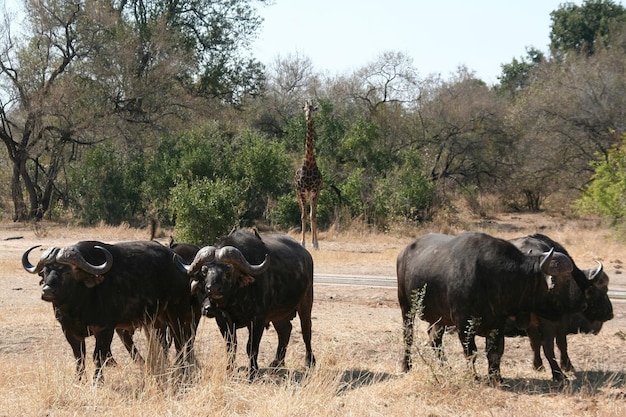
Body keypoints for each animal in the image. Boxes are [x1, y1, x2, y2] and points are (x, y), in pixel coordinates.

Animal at [23, 239, 199, 378]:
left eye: (67, 272)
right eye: (44, 272)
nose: (47, 291)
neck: (77, 306)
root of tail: (179, 263)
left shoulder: (105, 329)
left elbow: (98, 356)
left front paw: (97, 381)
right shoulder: (68, 330)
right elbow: (79, 357)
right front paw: (79, 380)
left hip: (176, 312)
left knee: (181, 340)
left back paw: (182, 368)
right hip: (156, 320)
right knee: (162, 342)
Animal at [177, 229, 314, 378]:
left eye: (228, 270)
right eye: (204, 270)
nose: (213, 288)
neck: (235, 300)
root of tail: (306, 255)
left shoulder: (258, 320)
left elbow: (251, 347)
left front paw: (252, 373)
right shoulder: (222, 321)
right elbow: (231, 346)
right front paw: (229, 370)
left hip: (306, 302)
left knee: (306, 331)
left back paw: (309, 362)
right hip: (279, 314)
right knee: (285, 330)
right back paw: (277, 363)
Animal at [394, 231, 584, 380]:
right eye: (563, 282)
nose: (578, 303)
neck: (492, 276)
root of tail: (403, 253)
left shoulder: (497, 323)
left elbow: (494, 352)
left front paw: (495, 377)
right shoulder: (463, 323)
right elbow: (471, 352)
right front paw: (474, 376)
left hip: (441, 317)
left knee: (434, 337)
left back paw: (445, 367)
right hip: (406, 307)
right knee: (408, 336)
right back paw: (406, 365)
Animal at [504, 232, 612, 378]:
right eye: (602, 291)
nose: (610, 313)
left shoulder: (531, 321)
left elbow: (534, 342)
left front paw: (538, 366)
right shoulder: (561, 318)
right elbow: (561, 342)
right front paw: (567, 366)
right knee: (548, 344)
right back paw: (558, 374)